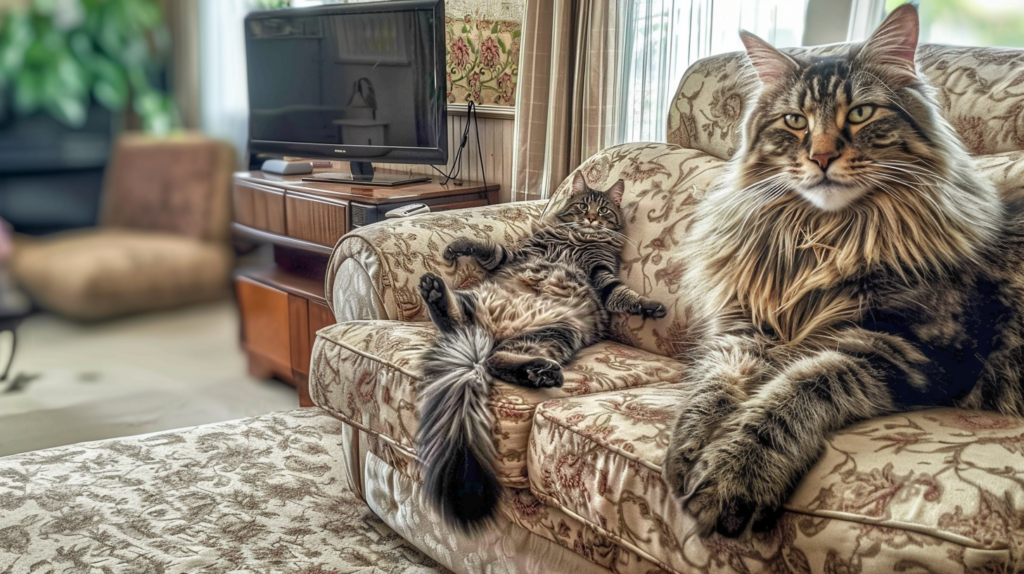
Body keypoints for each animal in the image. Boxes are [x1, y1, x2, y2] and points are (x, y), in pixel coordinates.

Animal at [415, 171, 663, 532]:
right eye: (583, 206)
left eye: (603, 210)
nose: (591, 218)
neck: (578, 237)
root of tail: (491, 335)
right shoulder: (517, 253)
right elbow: (487, 247)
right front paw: (457, 245)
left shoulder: (602, 273)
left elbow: (624, 294)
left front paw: (651, 306)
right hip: (479, 303)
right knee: (465, 329)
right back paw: (436, 293)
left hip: (556, 333)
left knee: (495, 359)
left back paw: (538, 372)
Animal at [659, 3, 1024, 536]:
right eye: (794, 121)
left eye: (860, 113)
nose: (822, 156)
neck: (824, 238)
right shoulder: (744, 329)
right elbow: (714, 386)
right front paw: (690, 446)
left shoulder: (905, 350)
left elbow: (795, 391)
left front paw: (733, 472)